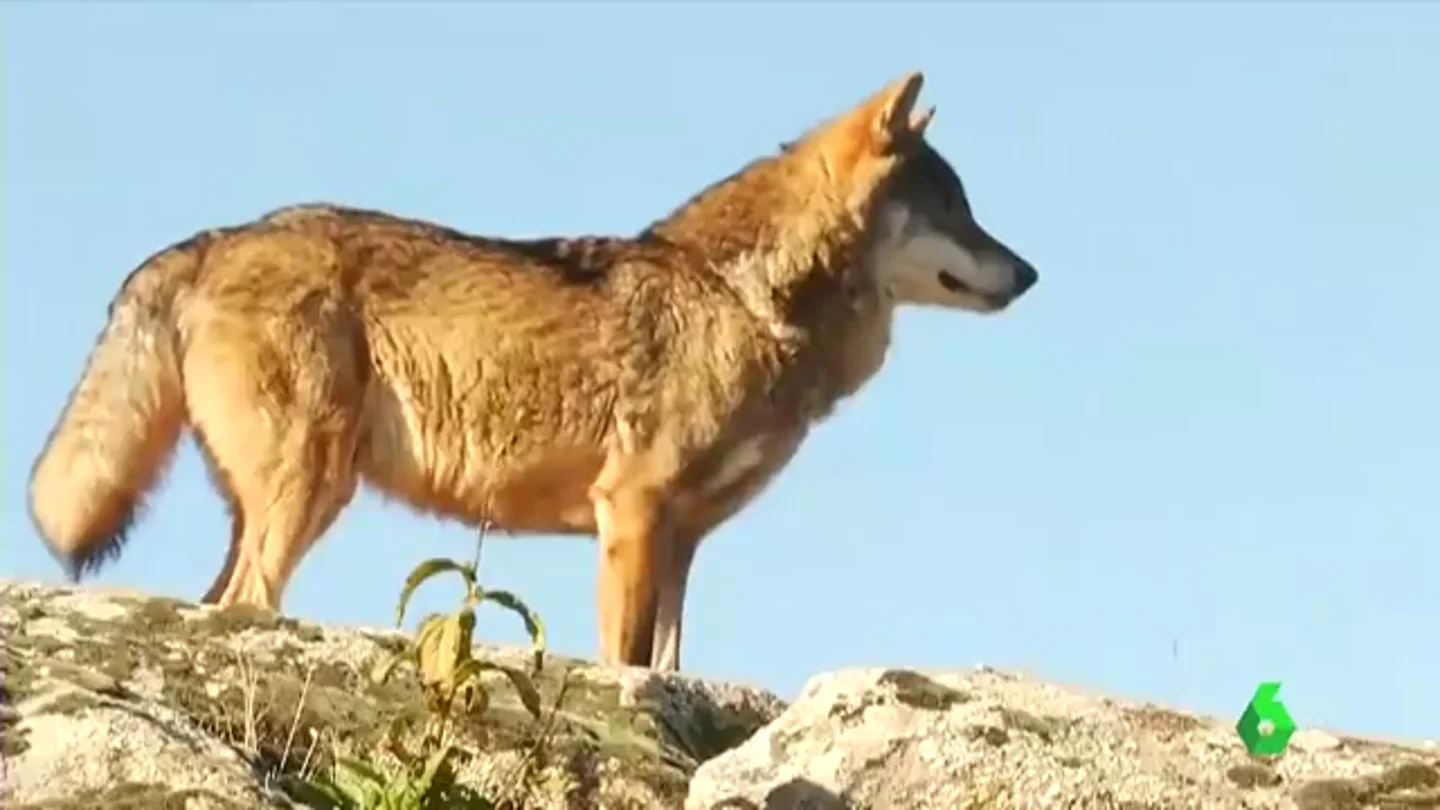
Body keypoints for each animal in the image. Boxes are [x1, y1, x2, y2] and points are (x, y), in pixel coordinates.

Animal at [28, 71, 1037, 671]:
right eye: (954, 209)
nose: (1029, 274)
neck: (747, 300)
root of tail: (214, 237)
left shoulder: (682, 542)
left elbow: (668, 662)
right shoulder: (630, 515)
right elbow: (625, 662)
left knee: (210, 603)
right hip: (308, 490)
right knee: (242, 604)